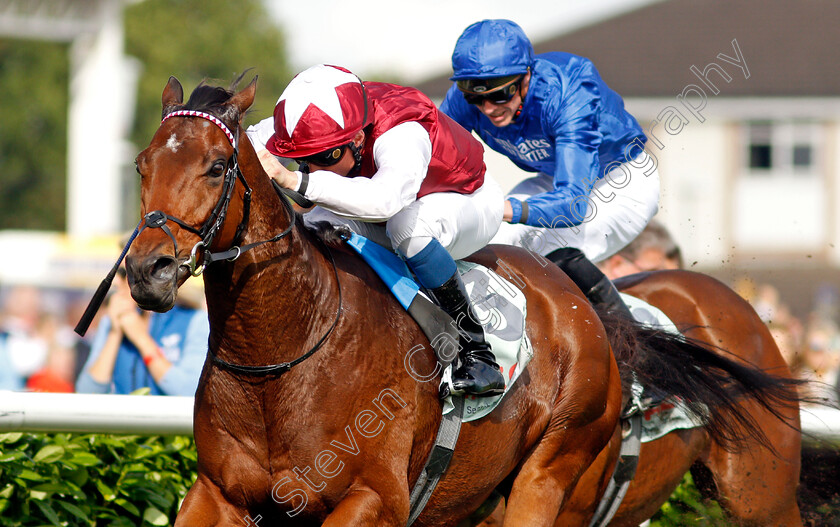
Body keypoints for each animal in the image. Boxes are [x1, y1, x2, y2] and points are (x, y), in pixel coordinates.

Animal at [126, 75, 800, 527]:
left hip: (604, 479)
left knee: (412, 227)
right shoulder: (217, 493)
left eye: (217, 166)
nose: (146, 270)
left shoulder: (374, 498)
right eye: (140, 165)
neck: (282, 353)